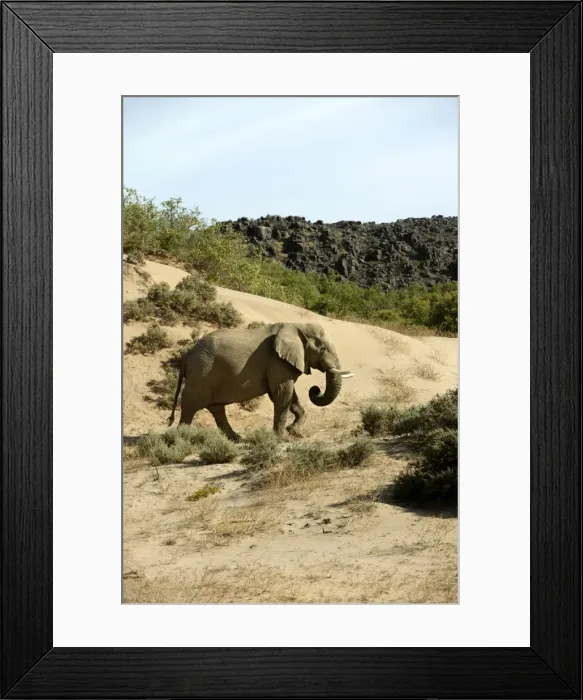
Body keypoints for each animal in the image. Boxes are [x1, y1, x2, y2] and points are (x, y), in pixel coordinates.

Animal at [168, 322, 354, 442]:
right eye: (323, 348)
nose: (315, 389)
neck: (297, 325)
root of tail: (187, 355)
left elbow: (287, 396)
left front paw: (295, 433)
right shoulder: (277, 361)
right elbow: (282, 394)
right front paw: (281, 438)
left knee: (216, 408)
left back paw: (237, 439)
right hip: (202, 372)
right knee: (191, 405)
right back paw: (181, 438)